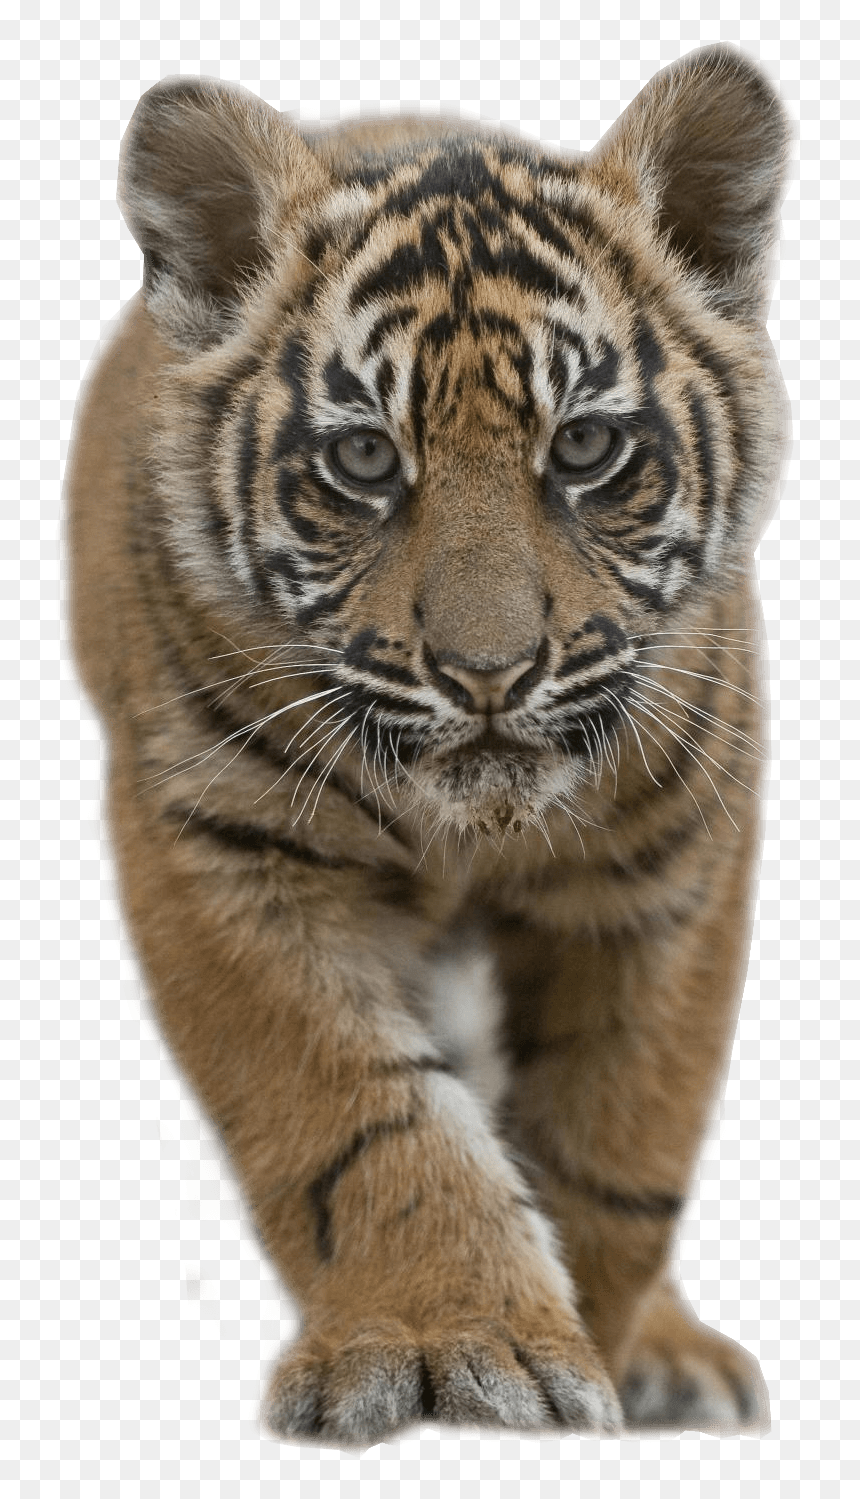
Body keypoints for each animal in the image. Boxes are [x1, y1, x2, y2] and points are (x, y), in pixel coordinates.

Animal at [67, 44, 789, 1443]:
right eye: (362, 459)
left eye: (584, 444)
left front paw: (594, 1340)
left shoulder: (673, 858)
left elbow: (620, 1136)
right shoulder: (219, 840)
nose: (488, 673)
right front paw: (453, 1339)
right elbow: (356, 1110)